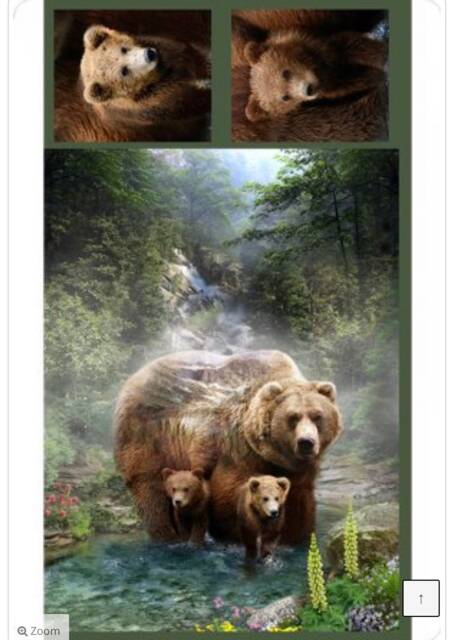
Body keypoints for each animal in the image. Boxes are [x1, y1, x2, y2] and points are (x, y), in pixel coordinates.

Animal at [54, 12, 211, 142]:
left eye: (123, 49)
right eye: (124, 71)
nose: (149, 55)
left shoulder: (171, 52)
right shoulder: (151, 105)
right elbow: (188, 102)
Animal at [114, 349, 343, 545]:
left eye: (317, 416)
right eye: (292, 417)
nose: (306, 442)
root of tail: (135, 377)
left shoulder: (298, 471)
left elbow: (298, 504)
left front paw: (295, 539)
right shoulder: (237, 448)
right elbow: (228, 497)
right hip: (149, 438)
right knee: (153, 494)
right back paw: (167, 537)